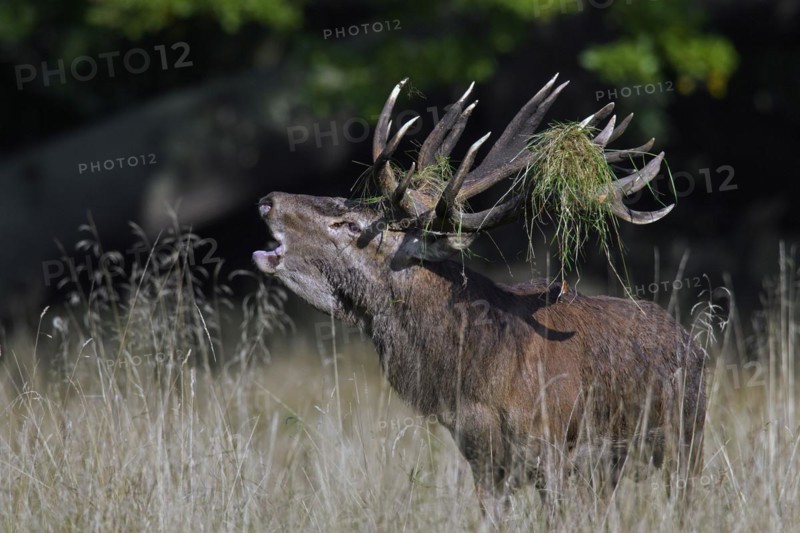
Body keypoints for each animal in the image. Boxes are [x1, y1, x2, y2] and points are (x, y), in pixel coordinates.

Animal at [253, 75, 706, 522]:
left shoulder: (556, 451)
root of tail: (692, 342)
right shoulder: (482, 458)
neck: (480, 371)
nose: (267, 201)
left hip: (684, 439)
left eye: (350, 225)